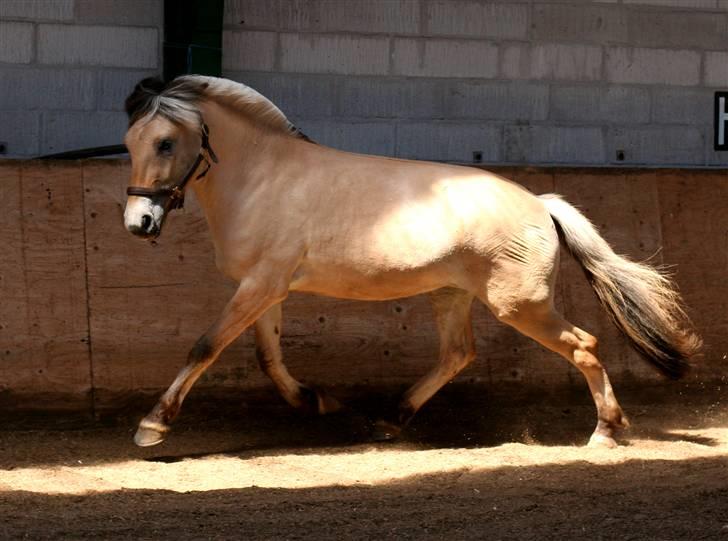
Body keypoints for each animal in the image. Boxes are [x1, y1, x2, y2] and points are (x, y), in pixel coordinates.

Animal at [121, 75, 700, 448]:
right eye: (129, 141)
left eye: (166, 142)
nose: (138, 223)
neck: (264, 178)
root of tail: (540, 204)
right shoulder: (265, 287)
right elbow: (268, 358)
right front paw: (319, 402)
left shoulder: (261, 284)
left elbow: (206, 346)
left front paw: (153, 426)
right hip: (452, 294)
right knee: (458, 354)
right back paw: (390, 421)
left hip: (519, 305)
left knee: (584, 346)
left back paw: (606, 431)